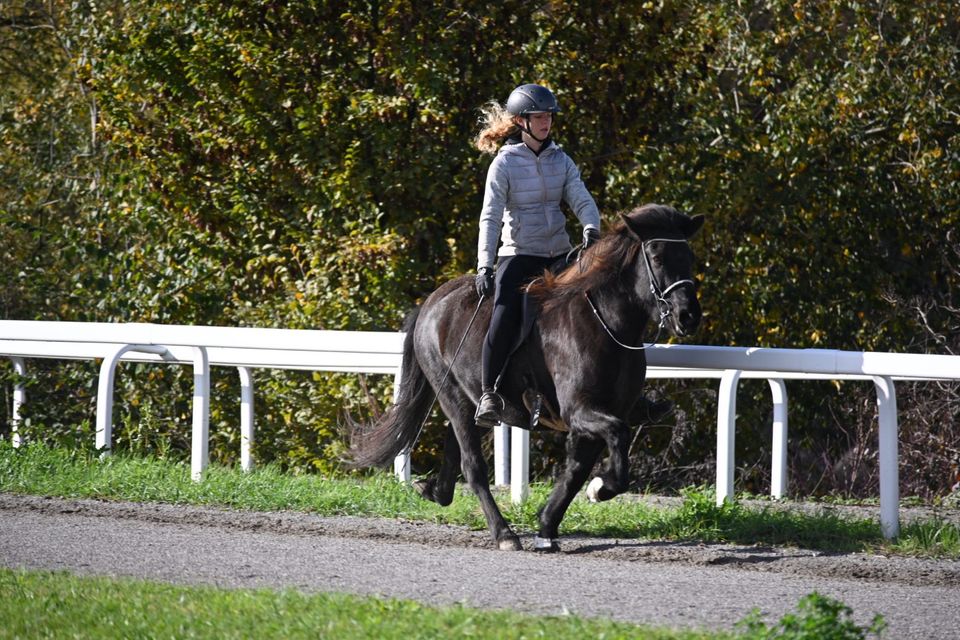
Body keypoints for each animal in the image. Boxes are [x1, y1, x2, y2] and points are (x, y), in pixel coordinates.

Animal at [348, 204, 700, 552]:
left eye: (689, 256)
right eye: (656, 256)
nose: (688, 316)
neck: (604, 322)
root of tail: (430, 303)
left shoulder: (598, 414)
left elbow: (577, 468)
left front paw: (547, 524)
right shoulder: (579, 410)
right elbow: (617, 436)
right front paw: (601, 488)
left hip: (468, 400)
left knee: (456, 447)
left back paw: (437, 491)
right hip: (450, 393)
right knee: (473, 467)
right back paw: (503, 533)